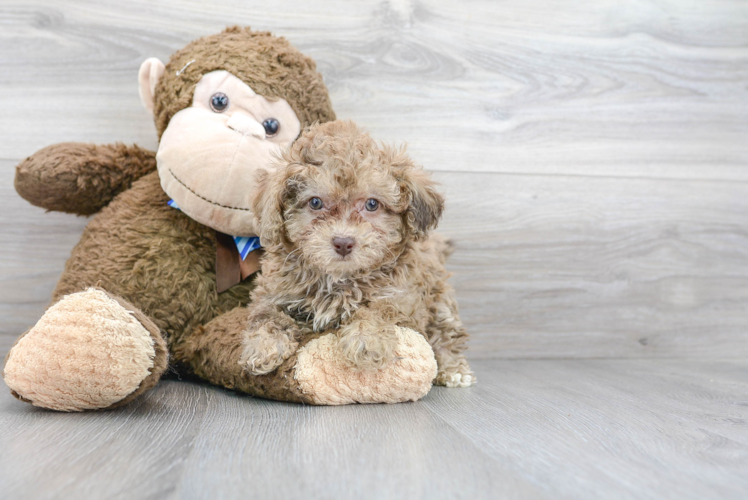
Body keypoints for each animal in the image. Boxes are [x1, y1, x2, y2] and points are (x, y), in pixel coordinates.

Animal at [240, 120, 474, 386]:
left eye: (372, 204)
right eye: (315, 203)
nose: (343, 242)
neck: (340, 279)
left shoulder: (404, 298)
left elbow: (379, 309)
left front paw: (367, 340)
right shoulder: (272, 292)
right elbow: (266, 316)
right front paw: (263, 346)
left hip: (440, 299)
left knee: (447, 332)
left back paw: (454, 369)